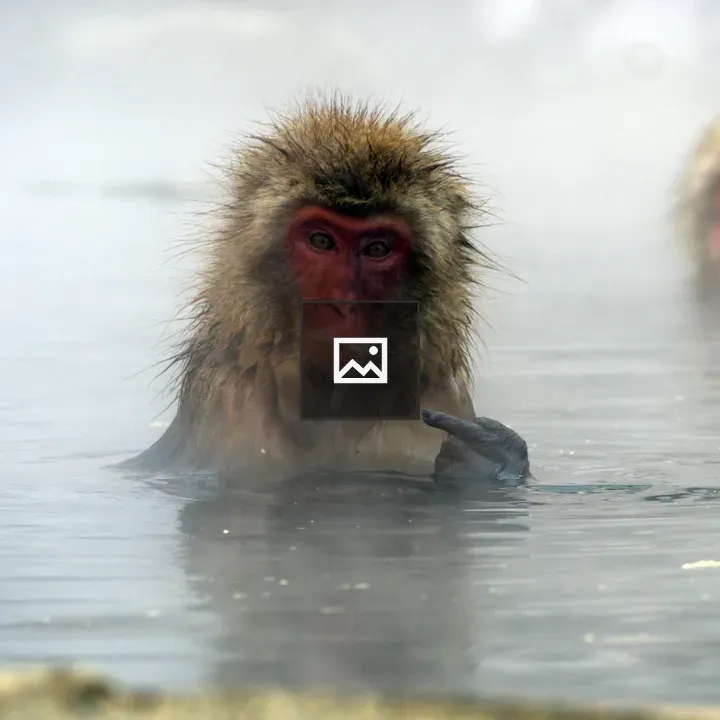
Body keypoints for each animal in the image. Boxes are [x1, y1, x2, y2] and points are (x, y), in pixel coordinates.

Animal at [123, 95, 531, 486]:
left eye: (377, 249)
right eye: (321, 241)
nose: (342, 303)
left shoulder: (442, 395)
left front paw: (487, 458)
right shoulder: (231, 399)